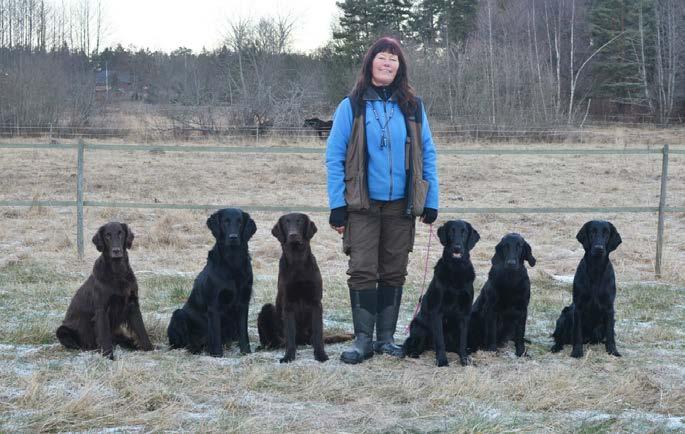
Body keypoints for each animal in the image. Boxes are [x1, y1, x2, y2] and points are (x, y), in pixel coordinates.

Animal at [56, 222, 154, 358]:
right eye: (107, 235)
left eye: (121, 233)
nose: (116, 251)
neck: (118, 273)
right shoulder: (102, 309)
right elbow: (104, 334)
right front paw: (108, 356)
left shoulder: (133, 303)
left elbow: (141, 329)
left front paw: (149, 349)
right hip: (62, 330)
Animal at [167, 209, 255, 356]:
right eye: (225, 221)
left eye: (240, 222)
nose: (233, 237)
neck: (233, 263)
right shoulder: (214, 305)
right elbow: (216, 333)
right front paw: (218, 355)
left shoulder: (243, 302)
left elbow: (244, 332)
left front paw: (246, 352)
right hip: (178, 315)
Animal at [258, 214, 350, 362]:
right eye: (286, 222)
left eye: (300, 221)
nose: (293, 235)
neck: (298, 262)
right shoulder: (288, 304)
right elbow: (290, 334)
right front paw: (288, 356)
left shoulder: (316, 303)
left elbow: (318, 333)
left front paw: (320, 355)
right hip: (267, 308)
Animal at [404, 220, 478, 366]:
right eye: (451, 231)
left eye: (464, 232)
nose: (457, 247)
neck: (456, 269)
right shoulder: (437, 311)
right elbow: (440, 340)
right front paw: (442, 360)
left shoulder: (465, 313)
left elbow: (463, 340)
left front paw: (464, 359)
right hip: (418, 326)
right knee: (416, 345)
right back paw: (414, 353)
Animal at [552, 222, 624, 358]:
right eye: (592, 232)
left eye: (606, 233)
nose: (598, 248)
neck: (595, 269)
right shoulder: (578, 307)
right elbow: (577, 333)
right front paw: (577, 352)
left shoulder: (609, 308)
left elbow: (610, 334)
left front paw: (613, 351)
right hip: (565, 314)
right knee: (559, 338)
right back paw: (555, 347)